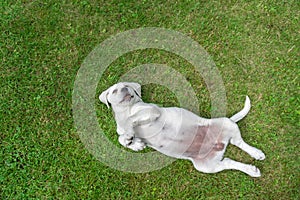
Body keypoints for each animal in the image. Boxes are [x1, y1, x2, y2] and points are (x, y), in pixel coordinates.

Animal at [100, 81, 264, 177]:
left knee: (239, 142)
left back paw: (256, 153)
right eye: (114, 91)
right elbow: (121, 137)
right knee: (229, 161)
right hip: (207, 166)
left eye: (127, 86)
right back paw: (251, 170)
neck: (127, 109)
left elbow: (132, 119)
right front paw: (134, 144)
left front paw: (130, 136)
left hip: (226, 124)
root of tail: (219, 143)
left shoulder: (152, 111)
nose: (125, 89)